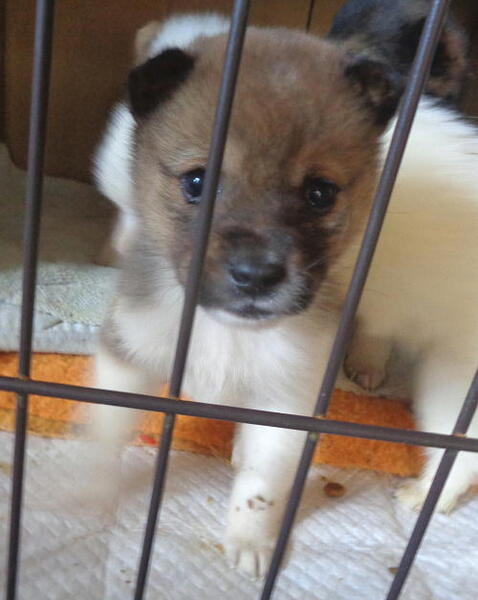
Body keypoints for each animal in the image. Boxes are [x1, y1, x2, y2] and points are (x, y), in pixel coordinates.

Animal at [92, 11, 478, 578]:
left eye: (319, 194)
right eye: (196, 182)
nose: (255, 275)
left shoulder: (290, 395)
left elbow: (261, 485)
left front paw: (251, 542)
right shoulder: (135, 346)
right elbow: (107, 423)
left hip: (455, 378)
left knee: (459, 451)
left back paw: (427, 495)